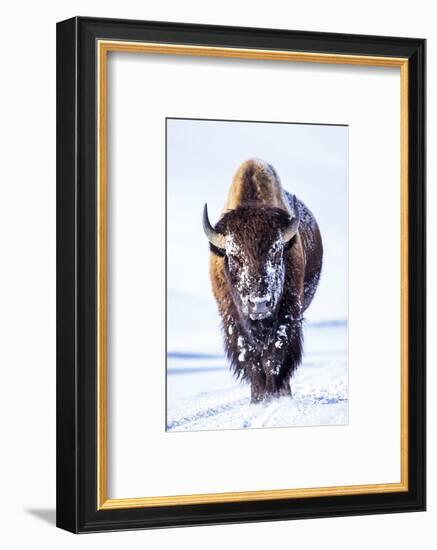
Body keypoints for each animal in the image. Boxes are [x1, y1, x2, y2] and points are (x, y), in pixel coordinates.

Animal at [203, 160, 322, 406]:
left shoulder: (288, 315)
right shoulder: (233, 320)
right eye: (234, 257)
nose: (259, 304)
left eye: (276, 253)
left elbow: (275, 355)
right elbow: (250, 358)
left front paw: (274, 395)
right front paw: (258, 398)